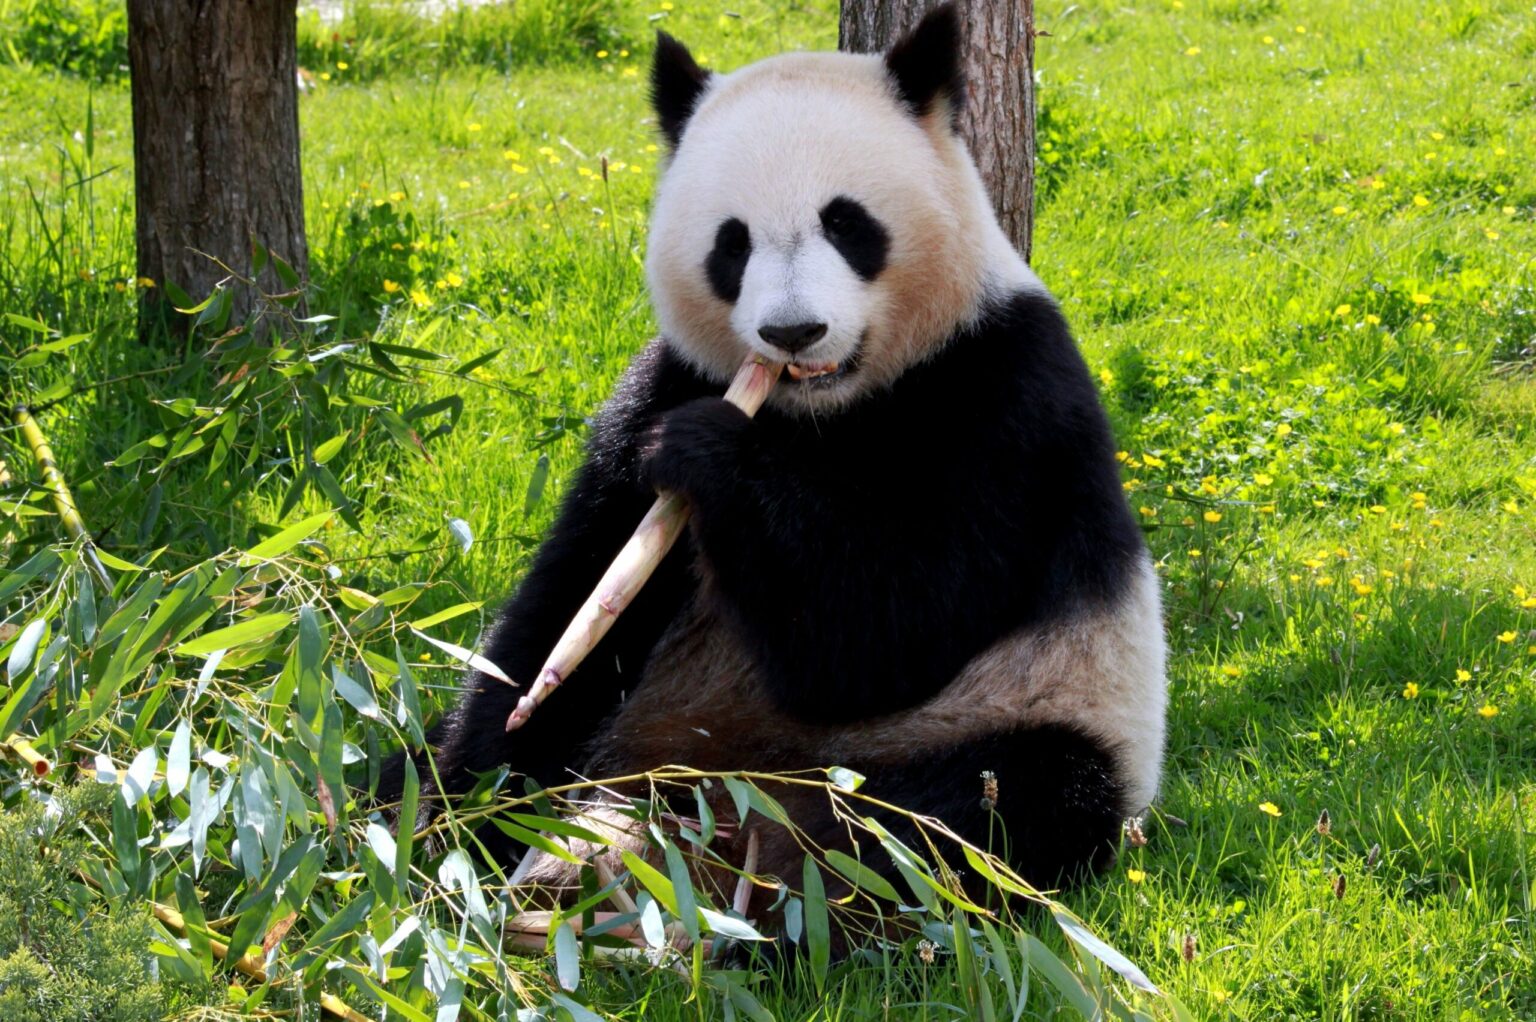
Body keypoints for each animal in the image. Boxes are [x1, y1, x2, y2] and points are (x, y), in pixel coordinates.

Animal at [390, 4, 1167, 914]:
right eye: (732, 244)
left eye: (847, 223)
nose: (793, 332)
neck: (819, 411)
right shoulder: (667, 380)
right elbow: (569, 604)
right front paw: (464, 801)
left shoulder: (1003, 396)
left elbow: (882, 633)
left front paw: (708, 453)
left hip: (1023, 712)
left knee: (981, 813)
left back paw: (771, 891)